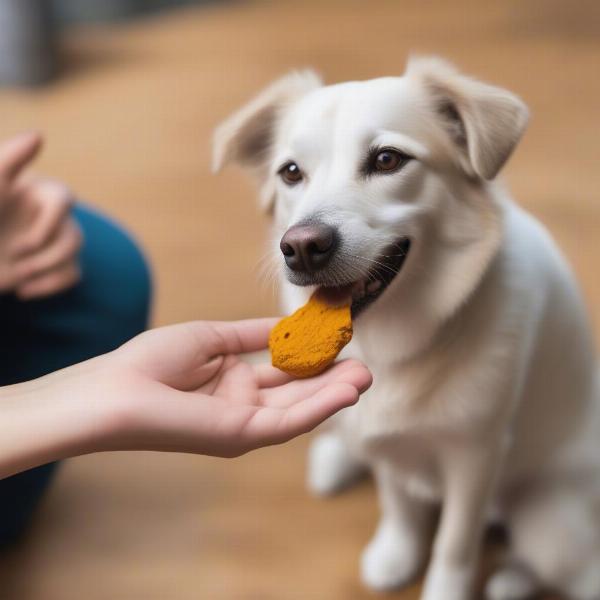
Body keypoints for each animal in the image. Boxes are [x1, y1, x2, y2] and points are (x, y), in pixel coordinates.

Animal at [214, 57, 600, 600]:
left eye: (387, 159)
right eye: (291, 172)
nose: (302, 248)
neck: (395, 338)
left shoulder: (475, 455)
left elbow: (455, 544)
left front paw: (443, 589)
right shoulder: (382, 437)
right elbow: (397, 502)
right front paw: (396, 553)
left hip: (551, 526)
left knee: (576, 569)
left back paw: (510, 579)